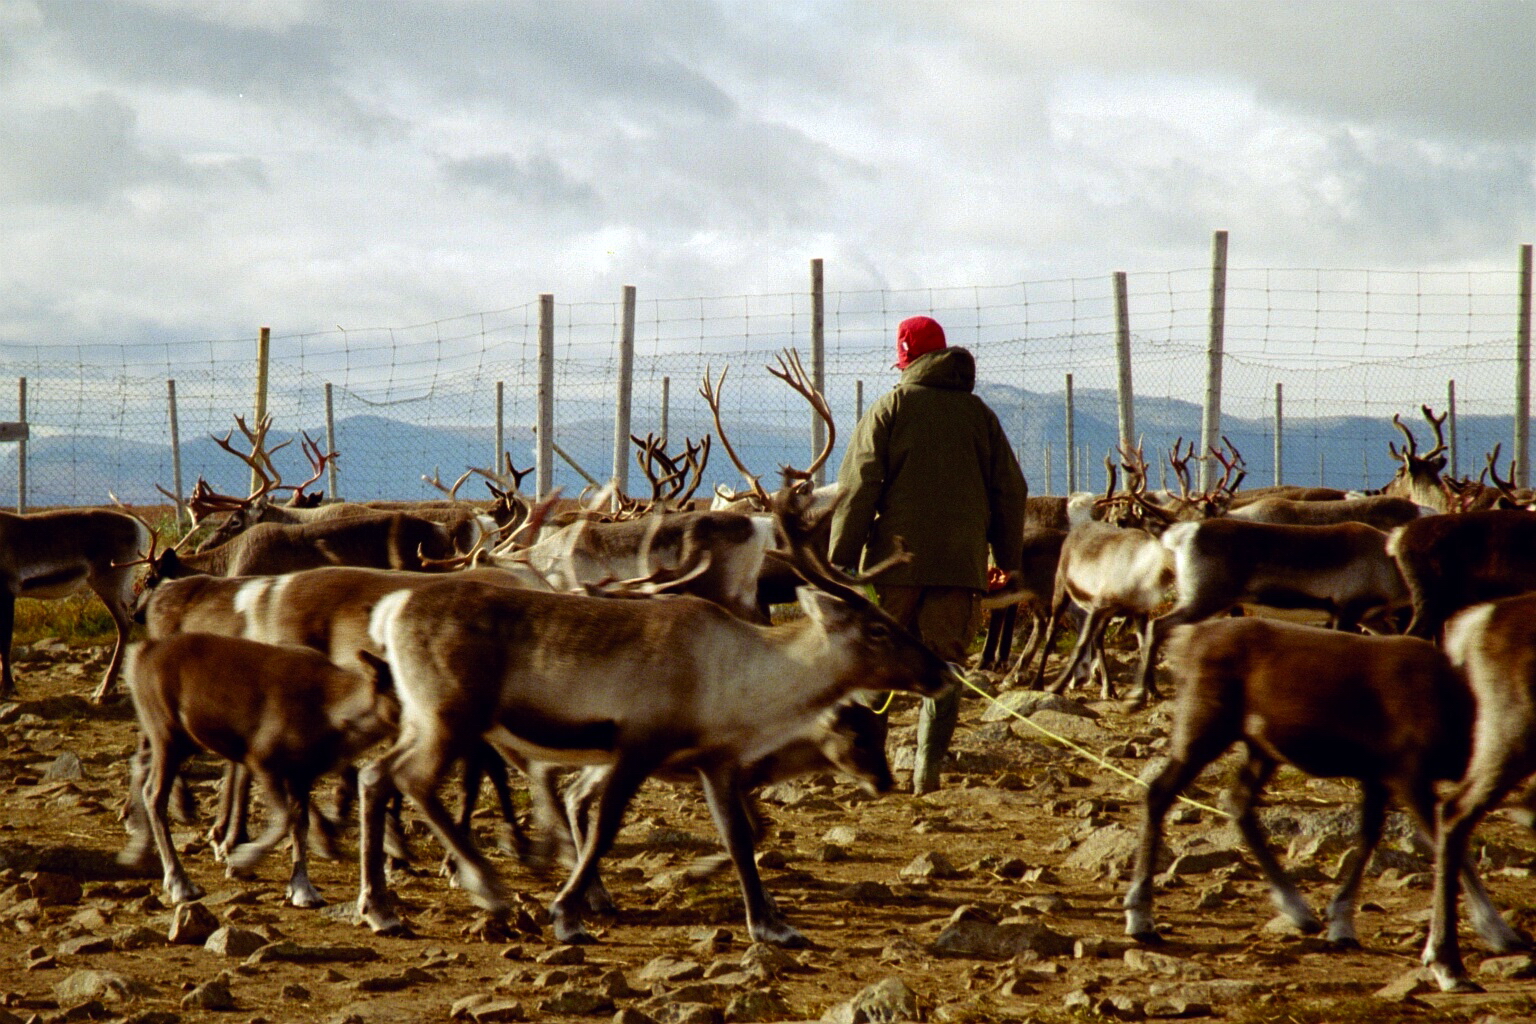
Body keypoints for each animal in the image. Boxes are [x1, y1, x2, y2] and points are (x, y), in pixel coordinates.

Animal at [0, 505, 153, 702]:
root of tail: (137, 526)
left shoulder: (7, 591)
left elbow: (5, 642)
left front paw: (7, 689)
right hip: (121, 586)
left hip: (108, 585)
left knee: (125, 623)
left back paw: (103, 689)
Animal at [118, 633, 398, 908]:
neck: (333, 715)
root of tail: (140, 654)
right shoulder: (262, 759)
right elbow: (286, 818)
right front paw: (239, 861)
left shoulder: (302, 774)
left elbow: (300, 823)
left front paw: (302, 889)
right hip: (166, 734)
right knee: (154, 794)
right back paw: (180, 883)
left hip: (185, 741)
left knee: (140, 764)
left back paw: (138, 851)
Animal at [355, 481, 956, 947]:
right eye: (877, 629)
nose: (943, 670)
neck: (738, 674)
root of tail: (391, 609)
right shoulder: (637, 745)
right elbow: (603, 831)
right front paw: (567, 913)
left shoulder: (717, 763)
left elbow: (740, 839)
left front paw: (771, 925)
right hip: (449, 716)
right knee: (410, 779)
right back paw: (486, 887)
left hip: (424, 718)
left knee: (376, 774)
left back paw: (380, 907)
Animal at [1124, 617, 1523, 993]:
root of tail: (1187, 640)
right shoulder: (1407, 771)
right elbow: (1446, 841)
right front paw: (1496, 932)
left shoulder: (1376, 775)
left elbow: (1369, 834)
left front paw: (1341, 922)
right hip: (1205, 725)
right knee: (1159, 792)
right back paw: (1140, 915)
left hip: (1261, 747)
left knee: (1237, 801)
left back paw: (1297, 908)